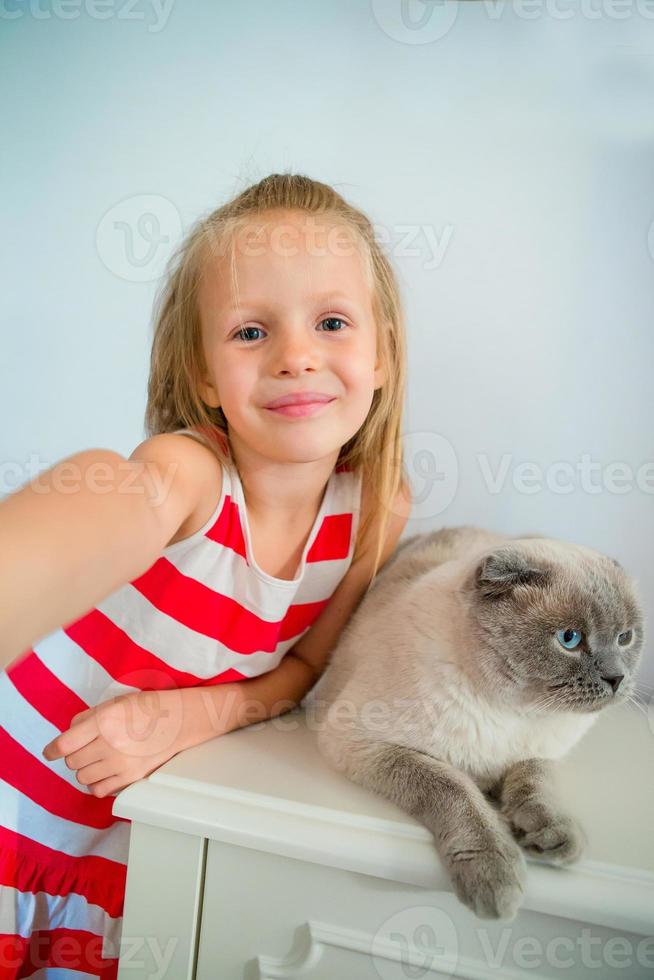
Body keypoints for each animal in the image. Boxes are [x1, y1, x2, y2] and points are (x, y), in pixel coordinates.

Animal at [306, 528, 644, 920]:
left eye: (625, 638)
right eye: (569, 639)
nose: (617, 679)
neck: (515, 711)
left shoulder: (539, 754)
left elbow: (536, 786)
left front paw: (553, 836)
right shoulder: (363, 742)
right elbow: (455, 789)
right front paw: (495, 878)